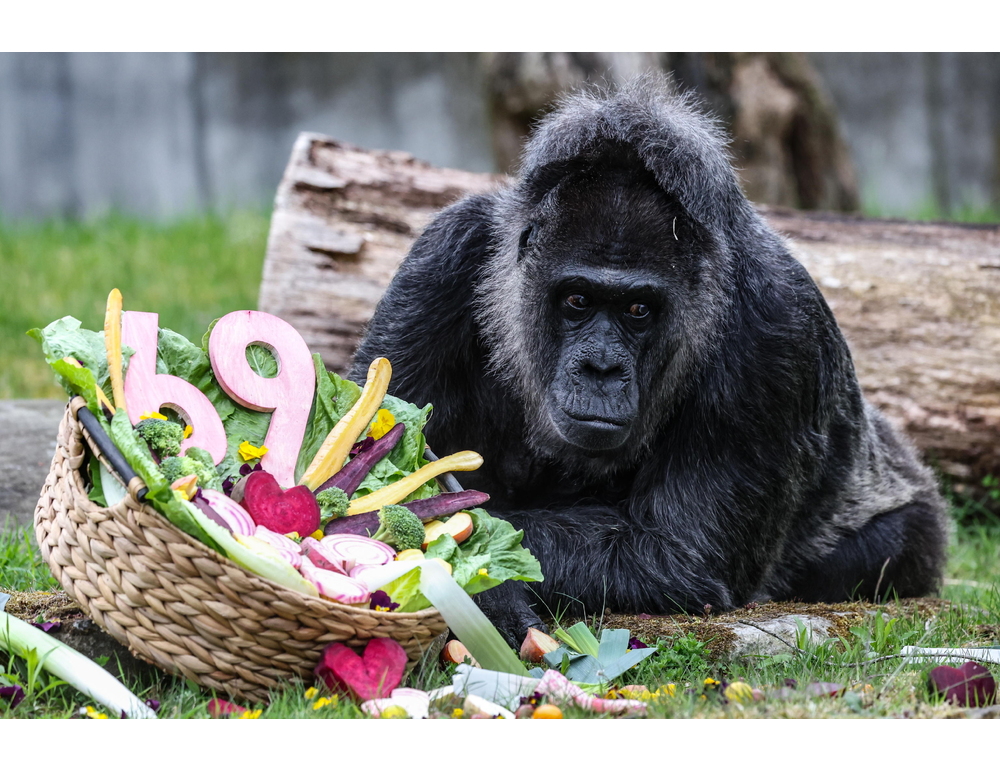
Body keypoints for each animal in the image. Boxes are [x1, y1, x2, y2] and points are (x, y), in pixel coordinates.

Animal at [348, 75, 949, 644]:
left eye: (638, 309)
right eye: (577, 300)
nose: (601, 369)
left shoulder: (779, 326)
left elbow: (677, 554)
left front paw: (479, 584)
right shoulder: (442, 256)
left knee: (893, 544)